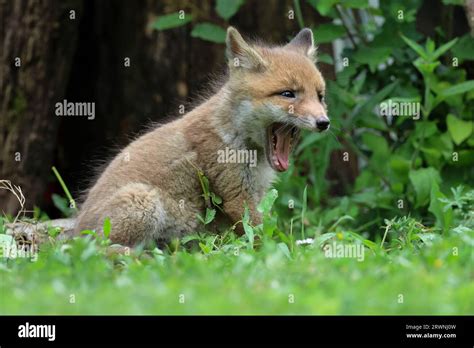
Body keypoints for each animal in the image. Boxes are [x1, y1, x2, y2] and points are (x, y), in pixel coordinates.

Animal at [77, 27, 330, 246]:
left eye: (320, 96)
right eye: (288, 94)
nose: (324, 123)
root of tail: (76, 228)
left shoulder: (254, 195)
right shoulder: (237, 196)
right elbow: (262, 239)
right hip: (142, 200)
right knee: (101, 250)